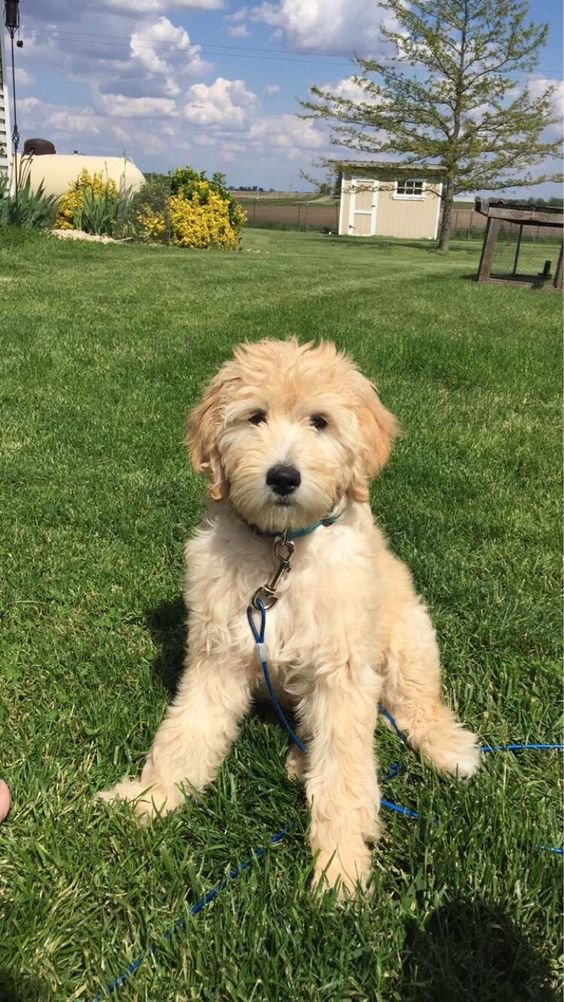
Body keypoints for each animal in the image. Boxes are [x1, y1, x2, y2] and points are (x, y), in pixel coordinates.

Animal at [99, 338, 478, 901]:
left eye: (320, 422)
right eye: (255, 417)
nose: (282, 476)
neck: (284, 550)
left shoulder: (343, 669)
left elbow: (345, 770)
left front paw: (340, 867)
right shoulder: (218, 653)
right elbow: (186, 730)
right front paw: (151, 798)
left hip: (409, 635)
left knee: (412, 704)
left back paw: (448, 749)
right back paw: (301, 760)